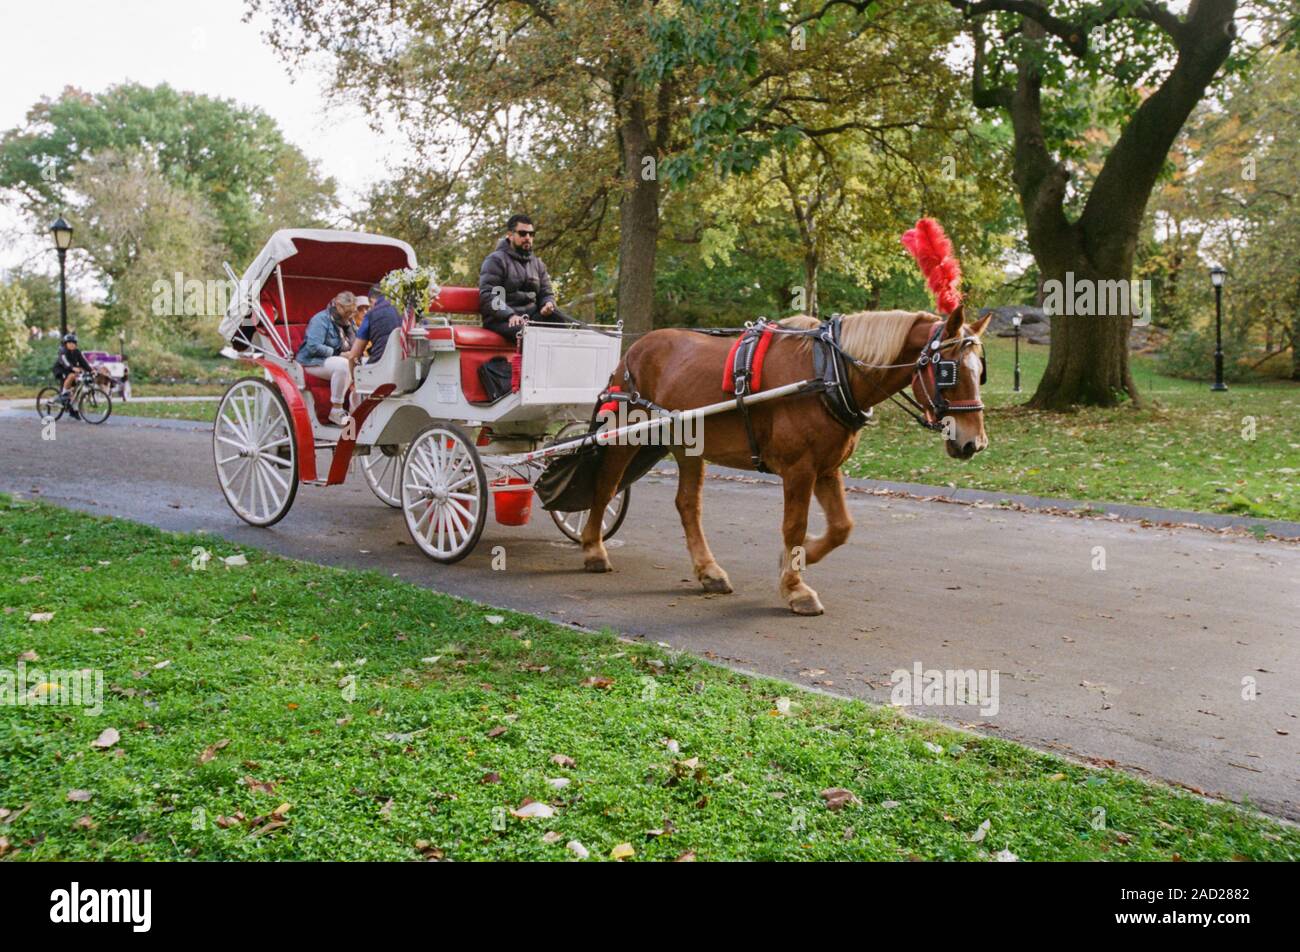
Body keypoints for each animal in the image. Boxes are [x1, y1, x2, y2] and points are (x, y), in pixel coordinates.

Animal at [574, 306, 987, 616]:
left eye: (980, 372)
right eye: (948, 372)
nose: (974, 443)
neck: (830, 373)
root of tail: (634, 350)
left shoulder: (827, 467)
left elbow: (841, 527)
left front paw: (803, 558)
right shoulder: (799, 468)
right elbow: (794, 526)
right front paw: (795, 588)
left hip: (689, 446)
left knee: (688, 505)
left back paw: (708, 571)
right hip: (625, 435)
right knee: (606, 486)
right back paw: (593, 548)